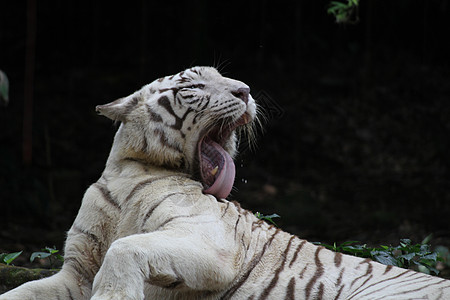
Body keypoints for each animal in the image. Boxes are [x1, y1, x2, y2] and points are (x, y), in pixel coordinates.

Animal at [1, 67, 448, 298]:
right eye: (194, 85)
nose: (246, 89)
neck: (132, 168)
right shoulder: (76, 273)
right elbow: (22, 292)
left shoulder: (210, 242)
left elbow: (125, 248)